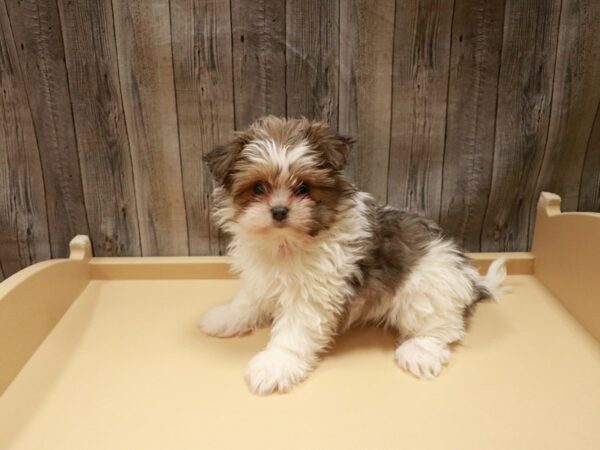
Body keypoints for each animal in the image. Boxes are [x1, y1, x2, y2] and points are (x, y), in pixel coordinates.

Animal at [199, 116, 504, 394]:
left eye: (303, 188)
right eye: (258, 188)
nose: (279, 211)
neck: (285, 244)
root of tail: (470, 277)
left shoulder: (312, 295)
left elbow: (293, 332)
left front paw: (275, 364)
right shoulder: (260, 276)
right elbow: (247, 300)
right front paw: (225, 317)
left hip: (426, 288)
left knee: (442, 327)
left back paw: (419, 350)